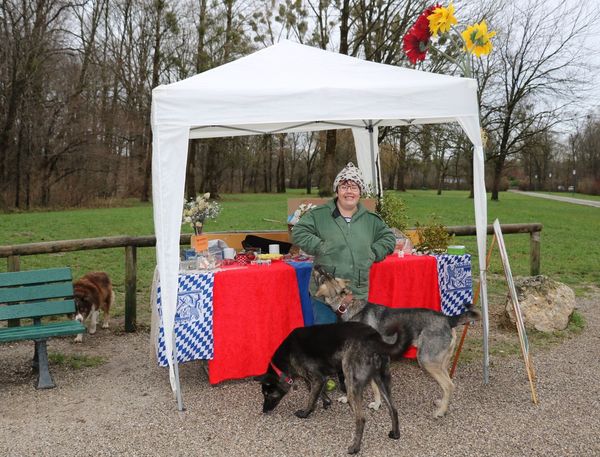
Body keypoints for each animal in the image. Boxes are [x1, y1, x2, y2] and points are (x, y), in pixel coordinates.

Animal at [255, 320, 406, 452]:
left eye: (267, 394)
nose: (264, 410)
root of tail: (374, 339)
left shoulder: (316, 377)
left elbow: (311, 398)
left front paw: (305, 413)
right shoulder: (318, 379)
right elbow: (317, 392)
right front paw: (326, 401)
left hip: (351, 383)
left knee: (361, 419)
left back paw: (355, 448)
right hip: (382, 380)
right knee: (393, 409)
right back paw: (395, 434)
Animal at [312, 264, 480, 416]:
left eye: (324, 276)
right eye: (328, 273)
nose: (317, 265)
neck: (347, 306)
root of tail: (448, 319)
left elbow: (371, 387)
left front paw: (376, 404)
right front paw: (350, 399)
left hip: (427, 360)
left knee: (449, 385)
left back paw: (440, 412)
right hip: (440, 361)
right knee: (447, 385)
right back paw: (441, 403)